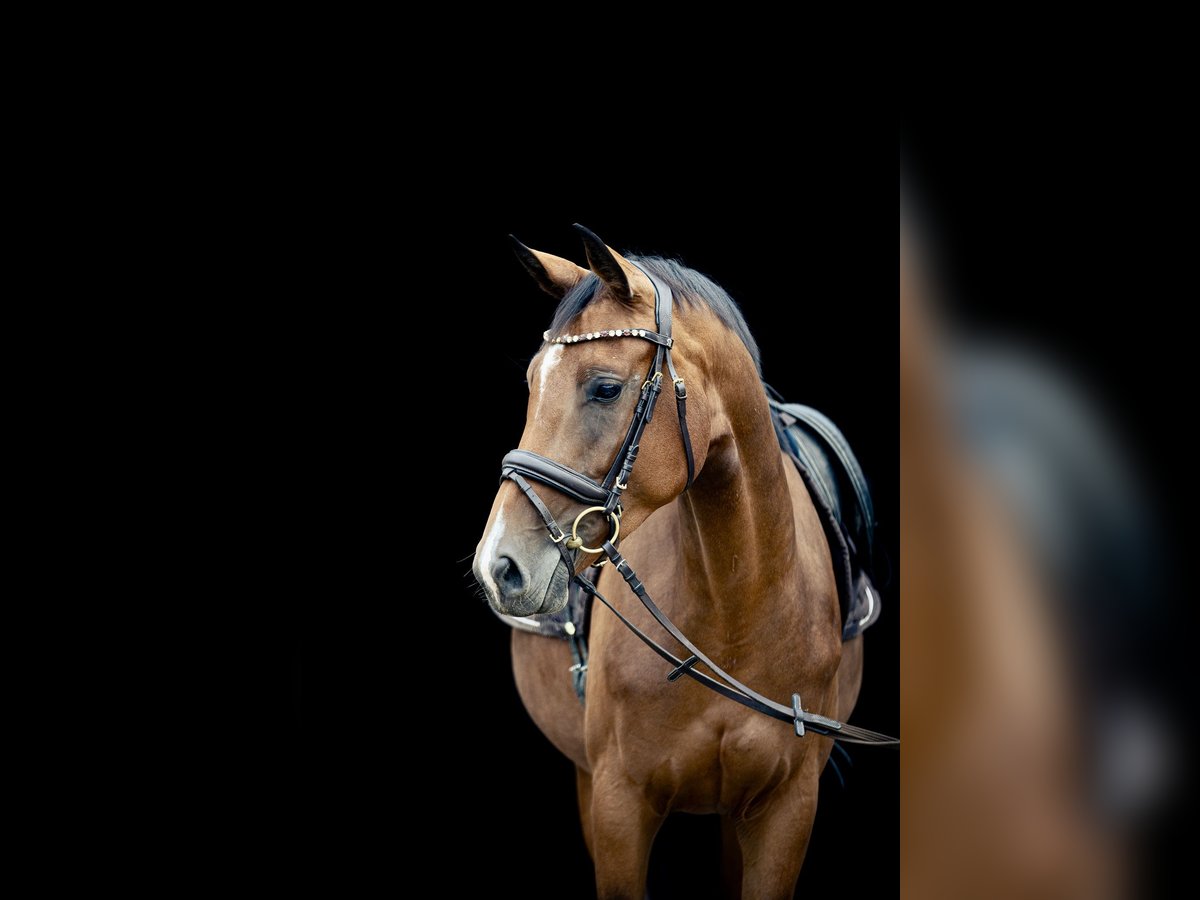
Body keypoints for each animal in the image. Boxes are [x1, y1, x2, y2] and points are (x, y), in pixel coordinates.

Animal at [474, 226, 868, 898]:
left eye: (605, 388)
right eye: (531, 383)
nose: (498, 567)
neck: (739, 611)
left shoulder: (787, 809)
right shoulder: (617, 805)